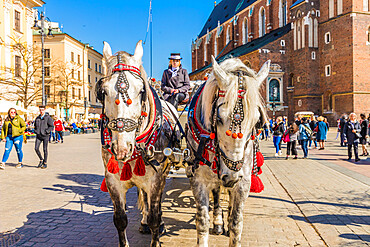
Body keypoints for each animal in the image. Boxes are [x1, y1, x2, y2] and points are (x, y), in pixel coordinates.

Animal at [97, 41, 180, 247]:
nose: (121, 148)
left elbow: (154, 218)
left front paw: (157, 234)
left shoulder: (156, 179)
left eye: (141, 91)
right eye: (103, 91)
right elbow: (120, 220)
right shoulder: (113, 181)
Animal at [185, 56, 268, 247]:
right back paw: (217, 222)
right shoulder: (198, 179)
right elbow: (202, 221)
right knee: (216, 193)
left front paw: (231, 225)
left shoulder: (244, 181)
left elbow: (237, 223)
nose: (231, 177)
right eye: (219, 118)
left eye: (257, 121)